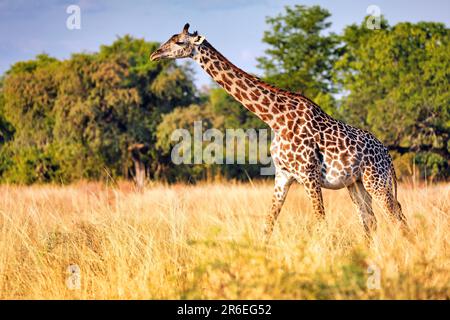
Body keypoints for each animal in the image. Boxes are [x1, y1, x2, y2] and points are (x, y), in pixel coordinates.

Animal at [150, 23, 408, 240]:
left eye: (179, 42)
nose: (154, 54)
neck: (275, 119)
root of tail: (388, 156)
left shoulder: (309, 175)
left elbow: (320, 223)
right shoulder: (283, 175)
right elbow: (268, 224)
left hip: (377, 181)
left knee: (396, 217)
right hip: (356, 183)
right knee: (371, 219)